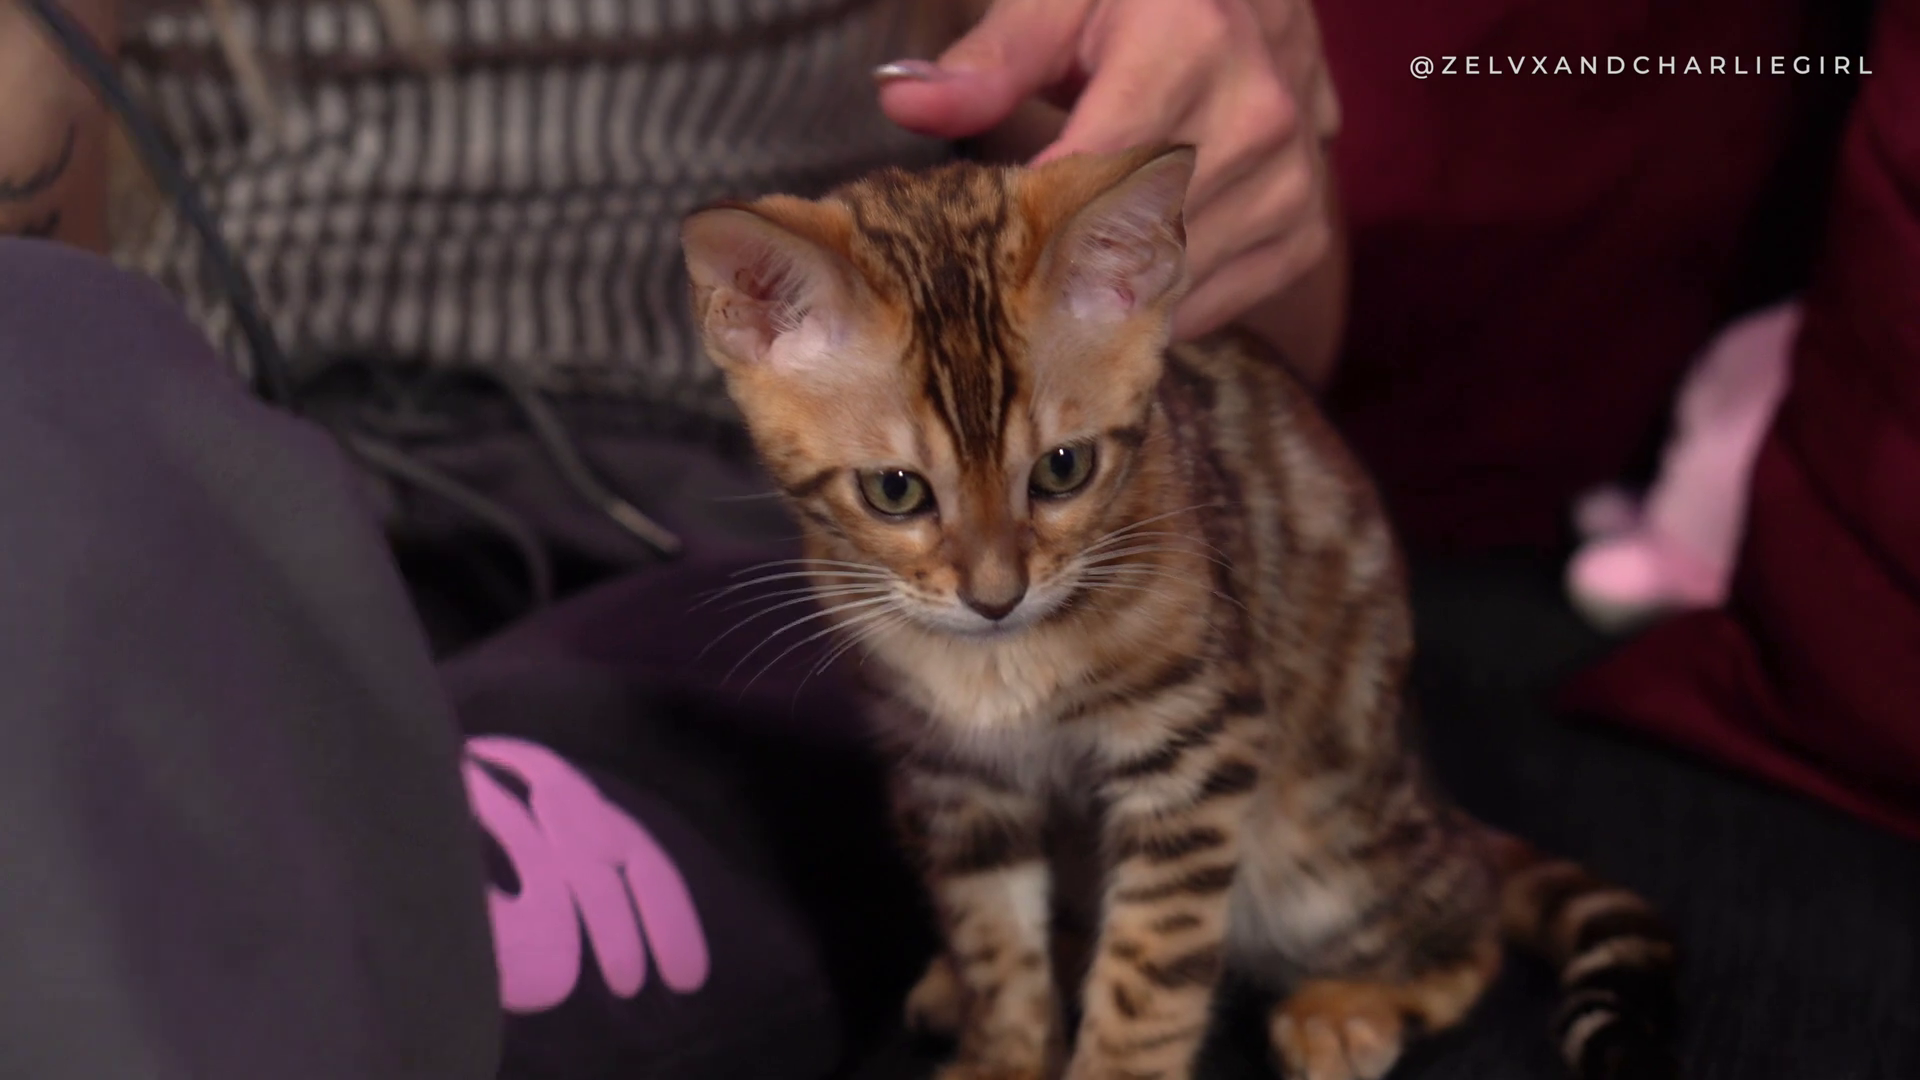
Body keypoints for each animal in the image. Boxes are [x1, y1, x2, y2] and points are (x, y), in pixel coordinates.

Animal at [679, 145, 1678, 1080]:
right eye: (895, 491)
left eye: (1064, 469)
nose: (996, 596)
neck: (1001, 667)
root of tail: (1432, 798)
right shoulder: (953, 776)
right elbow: (993, 936)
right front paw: (1006, 1051)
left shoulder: (1196, 743)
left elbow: (1153, 963)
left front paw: (1116, 1068)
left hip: (1326, 851)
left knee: (1468, 922)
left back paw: (1344, 1009)